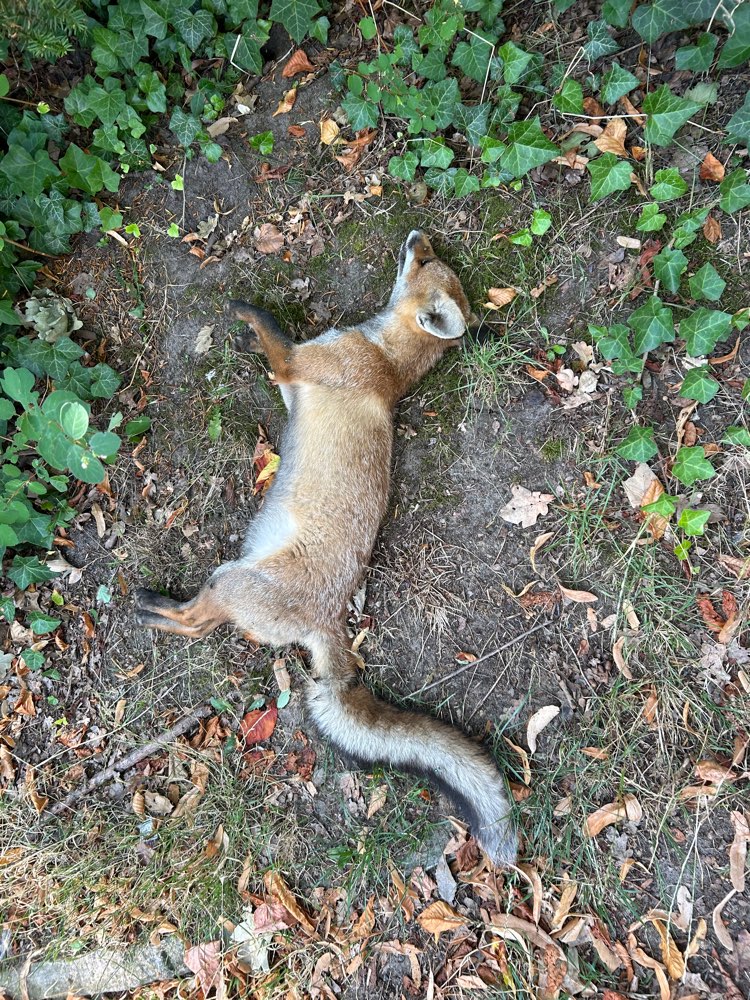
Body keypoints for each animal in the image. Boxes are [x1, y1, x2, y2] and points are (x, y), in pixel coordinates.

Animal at [135, 230, 516, 864]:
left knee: (196, 623)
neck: (384, 365)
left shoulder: (296, 364)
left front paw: (243, 307)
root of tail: (330, 619)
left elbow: (272, 331)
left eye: (424, 261)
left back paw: (149, 608)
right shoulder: (297, 383)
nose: (417, 234)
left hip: (229, 579)